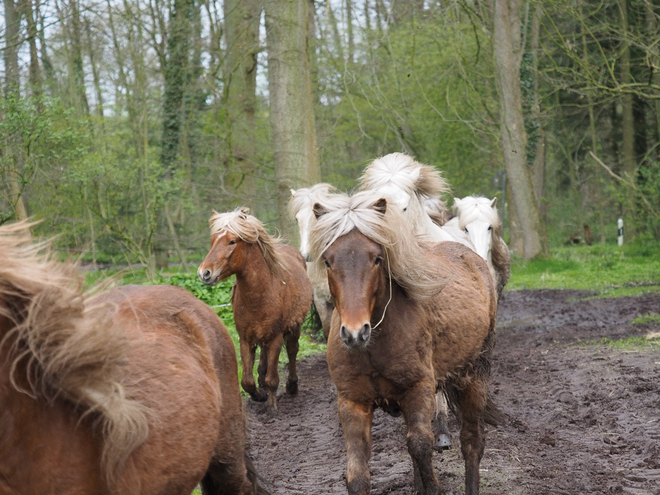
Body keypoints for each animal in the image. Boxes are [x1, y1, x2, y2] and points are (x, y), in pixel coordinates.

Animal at [197, 208, 314, 410]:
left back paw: (292, 386)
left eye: (232, 241)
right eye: (212, 241)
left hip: (294, 326)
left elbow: (272, 379)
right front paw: (259, 395)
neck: (262, 293)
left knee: (292, 350)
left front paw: (272, 405)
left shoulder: (276, 337)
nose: (204, 273)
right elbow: (247, 381)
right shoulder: (245, 338)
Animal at [310, 193, 500, 495]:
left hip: (474, 375)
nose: (355, 333)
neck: (374, 348)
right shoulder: (352, 402)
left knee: (472, 443)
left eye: (377, 258)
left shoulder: (418, 390)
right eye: (328, 261)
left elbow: (421, 446)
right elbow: (358, 475)